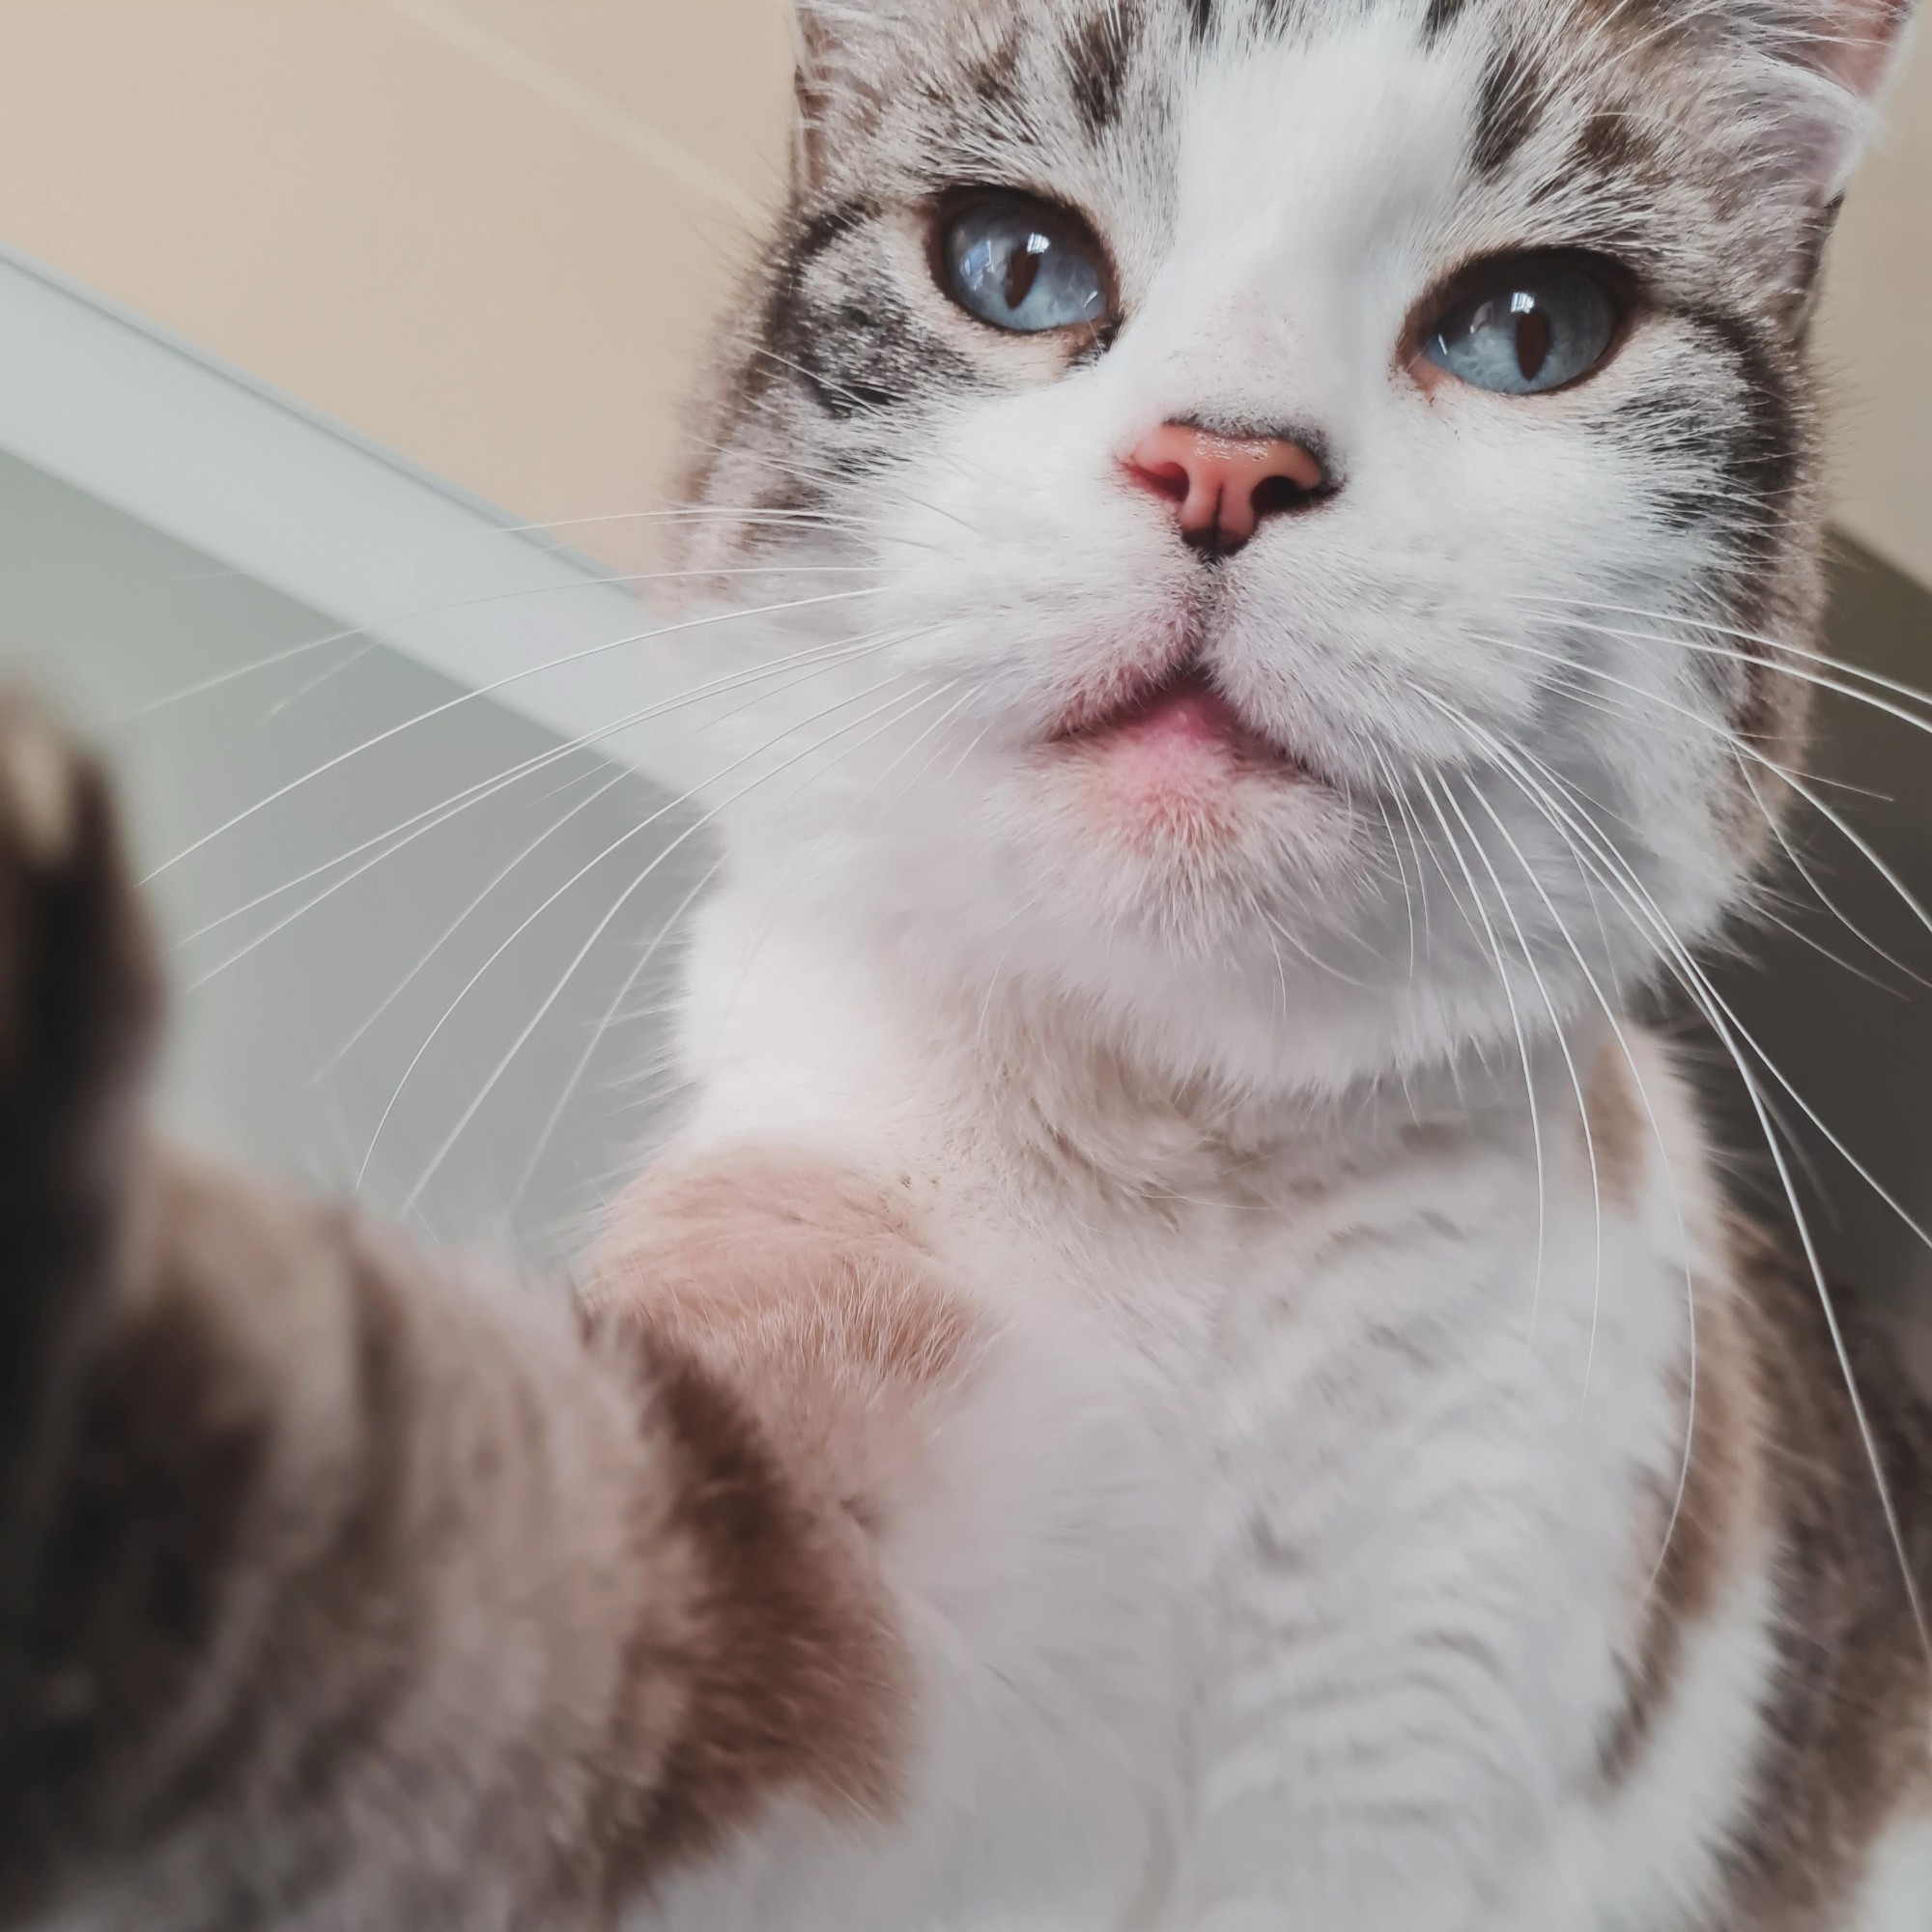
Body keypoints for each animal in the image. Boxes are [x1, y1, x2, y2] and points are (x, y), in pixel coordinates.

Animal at [3, 0, 1932, 1924]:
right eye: (1015, 267)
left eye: (1531, 331)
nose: (1224, 463)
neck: (1182, 1158)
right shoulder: (833, 1560)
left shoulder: (1401, 1777)